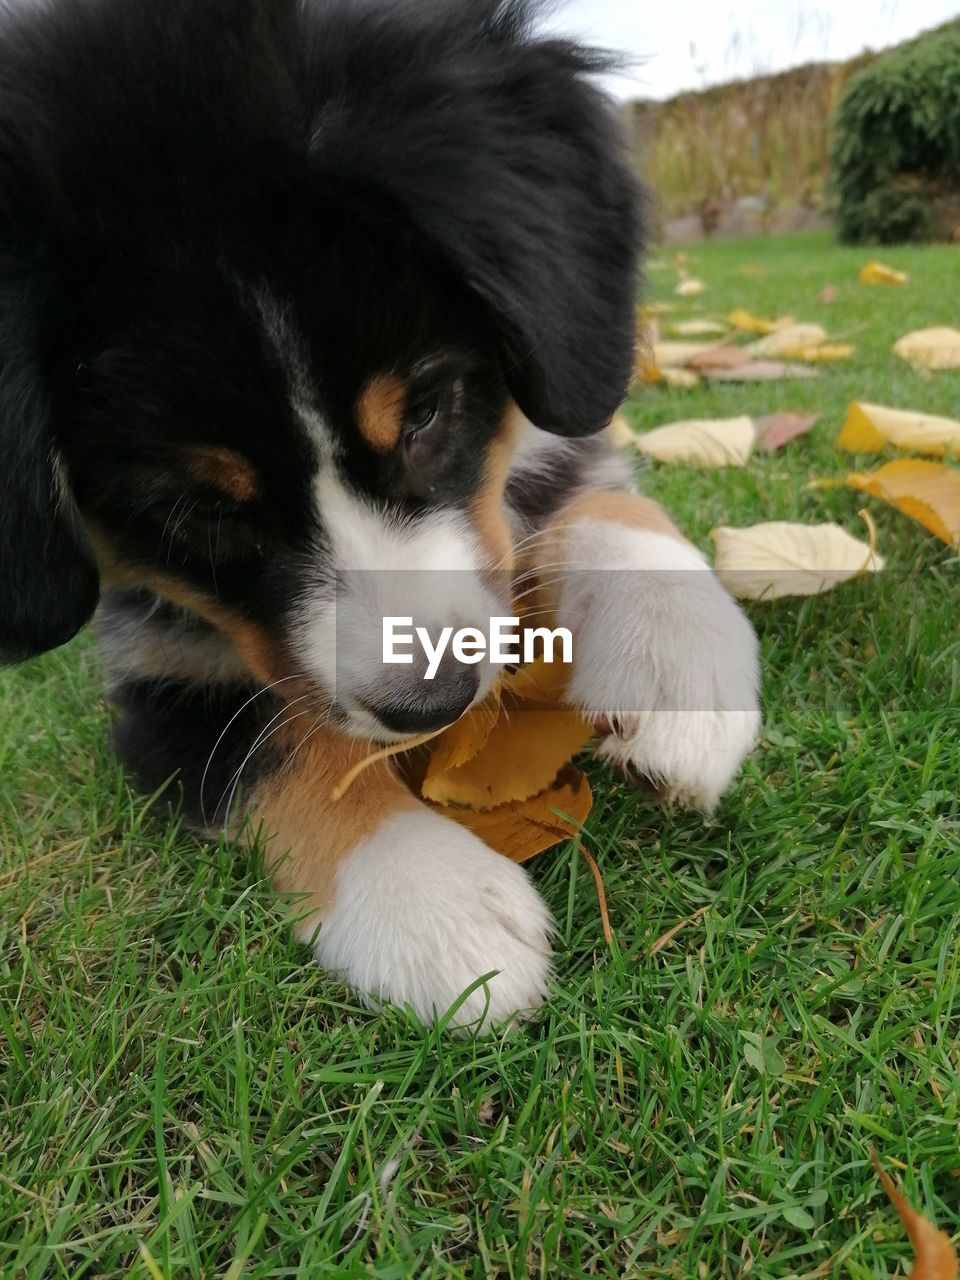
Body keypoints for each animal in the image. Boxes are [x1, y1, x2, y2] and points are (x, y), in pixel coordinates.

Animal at [3, 0, 762, 1024]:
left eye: (426, 412)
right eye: (199, 510)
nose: (433, 703)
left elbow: (589, 483)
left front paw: (675, 661)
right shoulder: (156, 674)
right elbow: (279, 747)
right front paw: (434, 907)